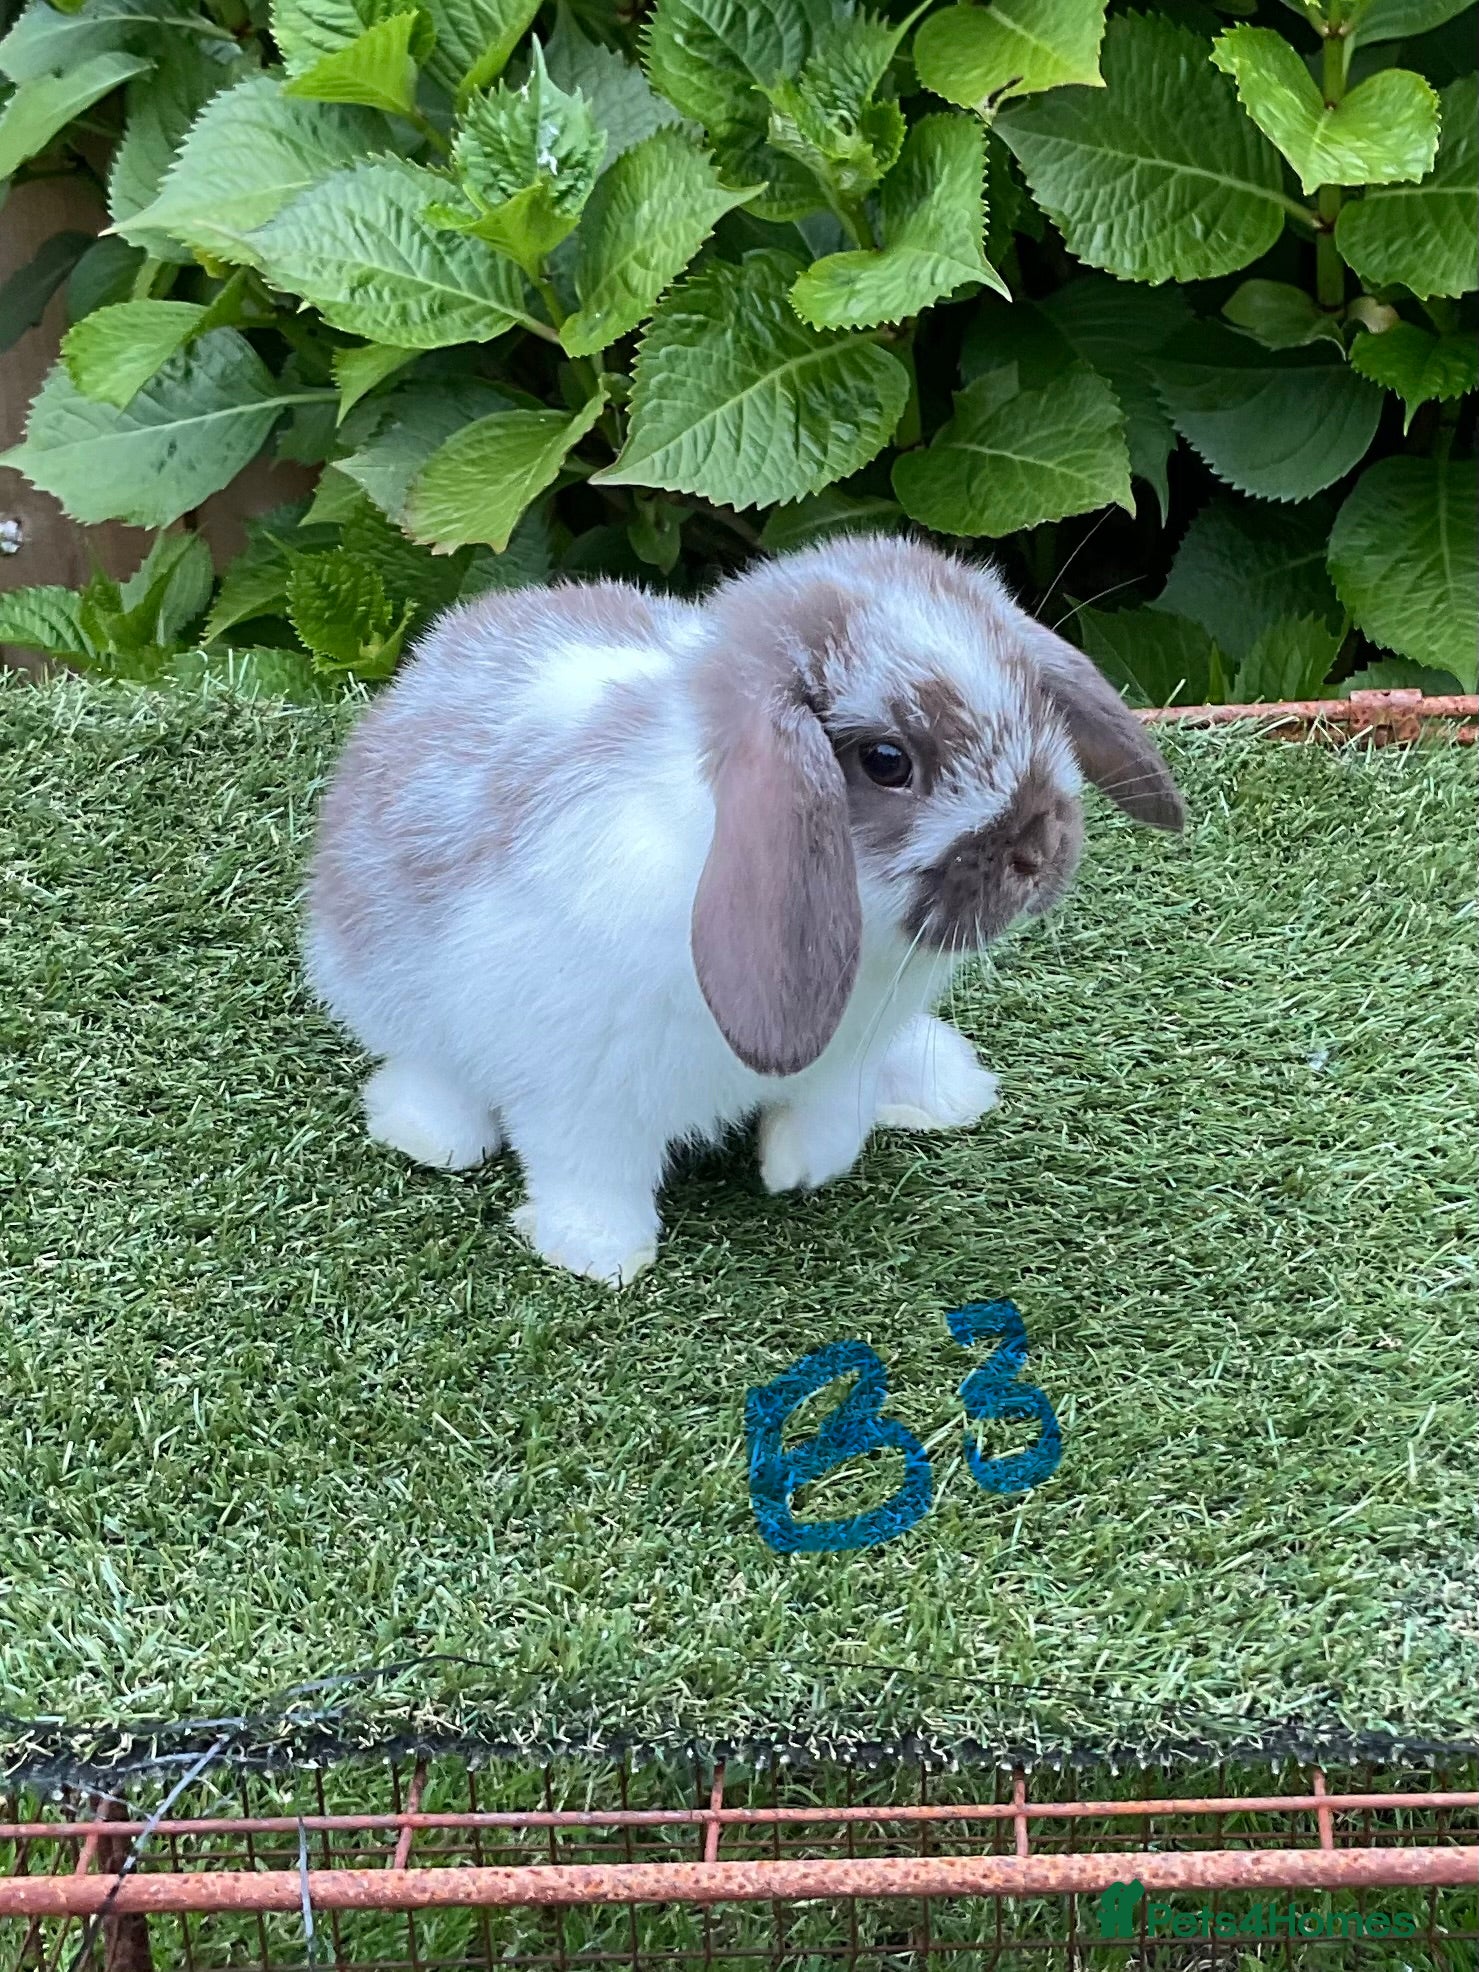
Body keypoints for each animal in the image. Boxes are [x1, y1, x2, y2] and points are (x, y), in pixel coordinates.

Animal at [303, 532, 1183, 1286]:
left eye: (1036, 700)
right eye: (886, 761)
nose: (1040, 852)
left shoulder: (848, 1050)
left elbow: (832, 1109)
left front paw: (801, 1166)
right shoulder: (578, 1080)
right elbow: (587, 1163)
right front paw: (599, 1252)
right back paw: (434, 1132)